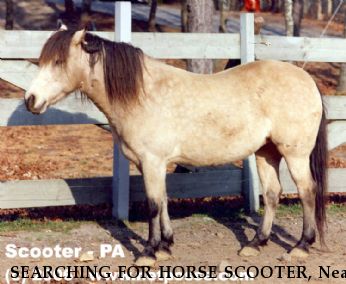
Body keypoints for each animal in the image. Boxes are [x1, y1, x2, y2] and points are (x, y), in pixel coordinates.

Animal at [24, 27, 328, 266]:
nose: (31, 100)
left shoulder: (152, 162)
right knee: (273, 193)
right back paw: (256, 243)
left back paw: (301, 246)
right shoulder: (152, 164)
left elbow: (153, 205)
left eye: (59, 61)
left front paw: (149, 252)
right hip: (267, 152)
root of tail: (308, 80)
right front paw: (166, 246)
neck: (142, 94)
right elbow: (163, 201)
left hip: (295, 154)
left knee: (307, 191)